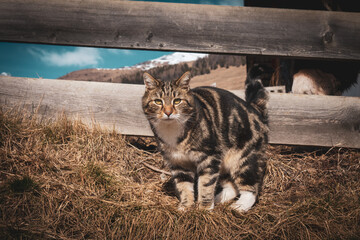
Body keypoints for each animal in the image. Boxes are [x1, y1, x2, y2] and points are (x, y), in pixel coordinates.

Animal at [142, 71, 268, 212]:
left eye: (177, 101)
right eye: (158, 101)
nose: (168, 112)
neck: (172, 131)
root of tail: (255, 108)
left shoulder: (210, 157)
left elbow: (206, 184)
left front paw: (205, 208)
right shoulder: (178, 163)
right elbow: (184, 186)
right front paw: (185, 207)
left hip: (244, 158)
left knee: (251, 188)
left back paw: (239, 206)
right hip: (224, 160)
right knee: (232, 187)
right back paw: (218, 199)